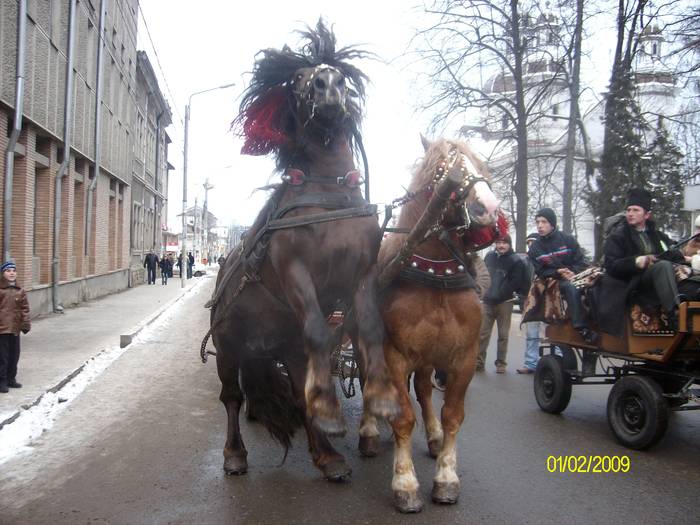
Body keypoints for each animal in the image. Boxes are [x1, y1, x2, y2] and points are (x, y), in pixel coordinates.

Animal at [206, 19, 400, 478]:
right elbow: (316, 326)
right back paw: (235, 453)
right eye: (297, 78)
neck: (329, 194)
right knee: (232, 398)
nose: (329, 83)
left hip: (286, 350)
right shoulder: (295, 271)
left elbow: (370, 328)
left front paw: (381, 400)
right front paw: (331, 414)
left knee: (298, 392)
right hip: (229, 349)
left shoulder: (363, 273)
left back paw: (326, 454)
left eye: (341, 74)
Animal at [358, 136, 500, 512]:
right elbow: (403, 417)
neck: (435, 274)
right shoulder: (393, 355)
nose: (488, 208)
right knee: (367, 383)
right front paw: (405, 484)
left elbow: (452, 414)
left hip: (428, 357)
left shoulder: (463, 357)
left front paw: (447, 477)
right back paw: (368, 431)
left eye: (480, 165)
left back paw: (433, 436)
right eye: (442, 168)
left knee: (422, 389)